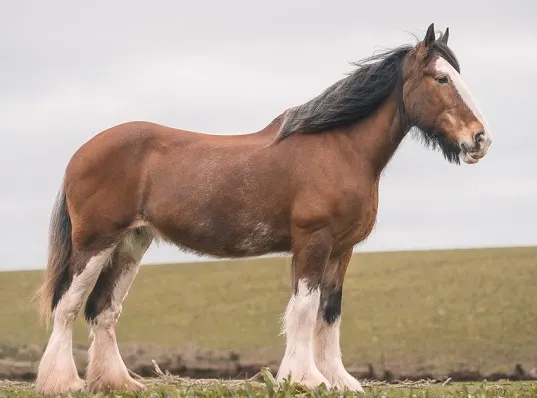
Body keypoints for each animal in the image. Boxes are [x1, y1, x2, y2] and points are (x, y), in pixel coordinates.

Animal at [34, 24, 490, 394]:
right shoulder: (312, 241)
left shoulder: (342, 250)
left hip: (131, 244)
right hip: (95, 242)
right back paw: (63, 382)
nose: (480, 139)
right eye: (441, 77)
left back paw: (118, 382)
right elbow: (304, 309)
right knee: (69, 306)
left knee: (103, 311)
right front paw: (307, 378)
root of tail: (81, 152)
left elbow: (330, 313)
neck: (340, 149)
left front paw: (339, 380)